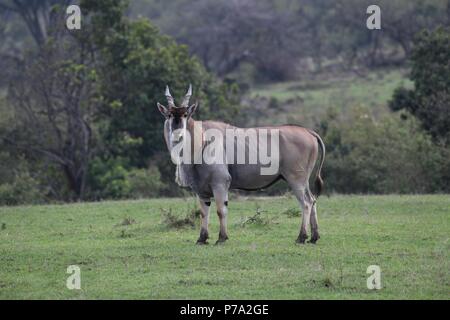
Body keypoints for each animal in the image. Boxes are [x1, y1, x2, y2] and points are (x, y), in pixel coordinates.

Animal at [156, 85, 326, 245]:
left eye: (186, 115)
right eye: (169, 115)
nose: (178, 135)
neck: (202, 139)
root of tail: (309, 132)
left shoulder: (220, 183)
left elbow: (221, 210)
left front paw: (222, 238)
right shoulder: (201, 190)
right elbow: (204, 213)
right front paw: (202, 239)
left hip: (295, 179)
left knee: (306, 203)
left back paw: (301, 237)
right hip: (303, 181)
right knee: (312, 199)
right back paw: (314, 237)